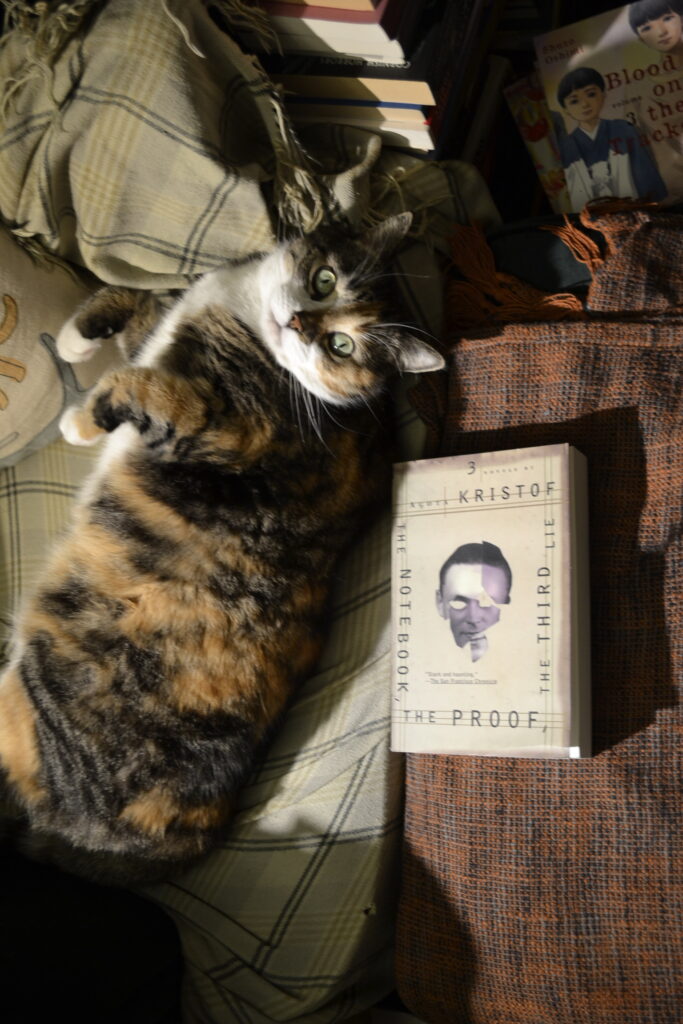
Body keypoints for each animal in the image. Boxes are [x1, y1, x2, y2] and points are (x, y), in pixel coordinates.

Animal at [0, 214, 444, 880]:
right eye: (324, 280)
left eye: (343, 347)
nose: (299, 324)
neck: (245, 311)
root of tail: (190, 840)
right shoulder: (167, 324)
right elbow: (130, 303)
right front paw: (78, 342)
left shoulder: (221, 424)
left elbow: (143, 387)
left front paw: (79, 421)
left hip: (39, 685)